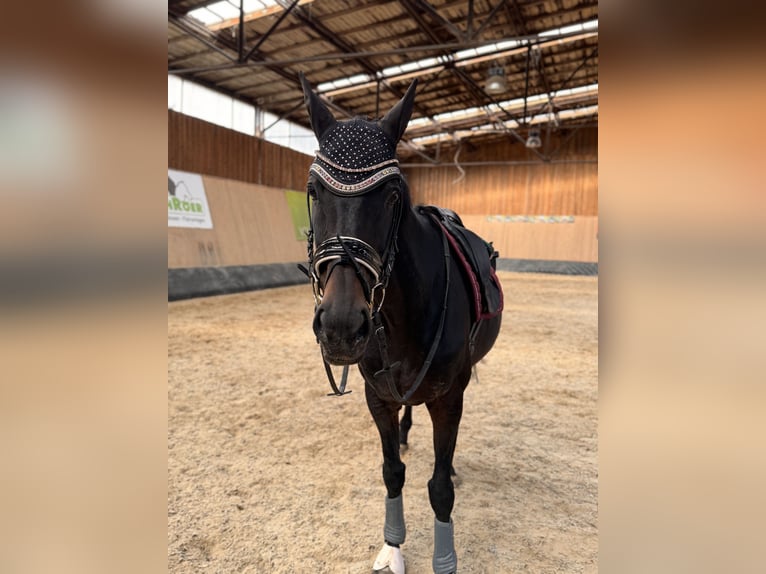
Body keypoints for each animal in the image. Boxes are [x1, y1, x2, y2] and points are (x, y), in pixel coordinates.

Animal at [298, 74, 504, 572]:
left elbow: (440, 488)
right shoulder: (378, 397)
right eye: (313, 192)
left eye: (392, 196)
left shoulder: (449, 398)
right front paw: (392, 548)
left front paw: (444, 560)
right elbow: (392, 471)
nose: (340, 326)